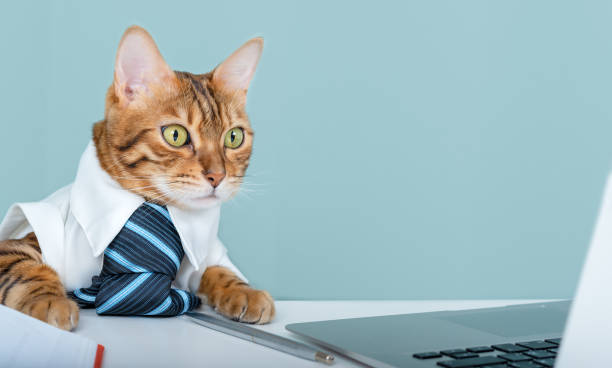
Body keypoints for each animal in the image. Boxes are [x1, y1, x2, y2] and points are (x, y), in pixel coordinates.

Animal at [0, 25, 274, 330]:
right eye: (176, 134)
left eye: (234, 137)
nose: (218, 175)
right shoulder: (17, 244)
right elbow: (27, 269)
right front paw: (48, 300)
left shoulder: (202, 257)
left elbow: (216, 268)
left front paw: (243, 289)